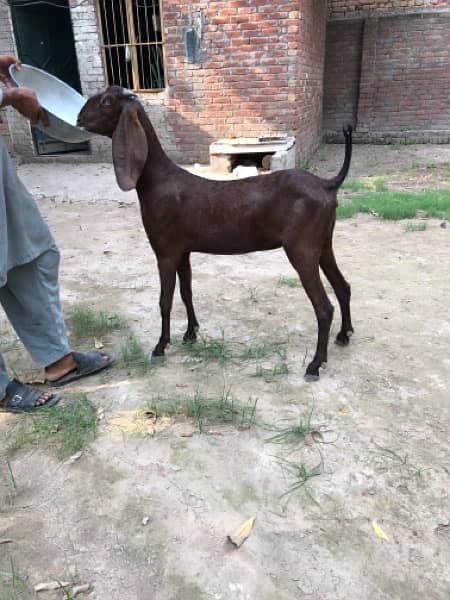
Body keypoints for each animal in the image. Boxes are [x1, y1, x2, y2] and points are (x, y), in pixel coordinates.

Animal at [77, 86, 354, 378]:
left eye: (107, 102)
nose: (79, 117)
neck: (159, 180)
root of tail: (327, 184)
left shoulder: (165, 252)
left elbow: (165, 301)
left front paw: (161, 346)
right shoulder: (183, 251)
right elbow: (186, 292)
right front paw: (190, 333)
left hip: (302, 250)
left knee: (324, 308)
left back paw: (315, 363)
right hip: (323, 244)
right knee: (343, 287)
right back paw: (344, 335)